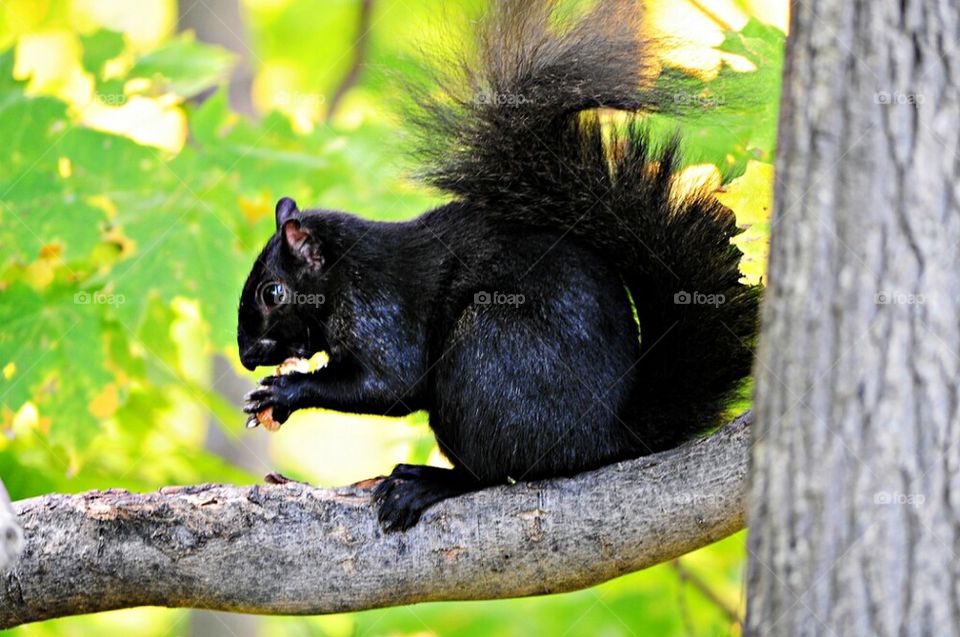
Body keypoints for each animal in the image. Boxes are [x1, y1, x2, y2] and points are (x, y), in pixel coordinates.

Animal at [237, 0, 760, 531]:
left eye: (272, 293)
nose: (246, 355)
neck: (344, 273)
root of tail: (608, 436)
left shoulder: (380, 311)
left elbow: (391, 384)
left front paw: (285, 392)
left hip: (488, 356)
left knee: (491, 471)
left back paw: (430, 482)